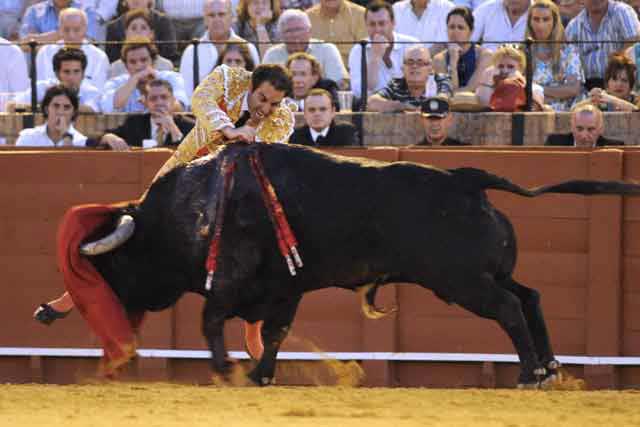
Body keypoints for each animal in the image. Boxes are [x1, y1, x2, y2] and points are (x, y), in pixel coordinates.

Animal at [84, 144, 640, 388]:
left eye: (120, 262)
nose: (117, 310)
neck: (190, 207)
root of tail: (466, 179)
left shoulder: (230, 279)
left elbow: (211, 318)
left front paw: (227, 371)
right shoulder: (288, 286)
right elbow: (277, 331)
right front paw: (261, 375)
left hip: (460, 282)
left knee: (508, 307)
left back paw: (528, 374)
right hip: (485, 273)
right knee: (530, 297)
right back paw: (550, 366)